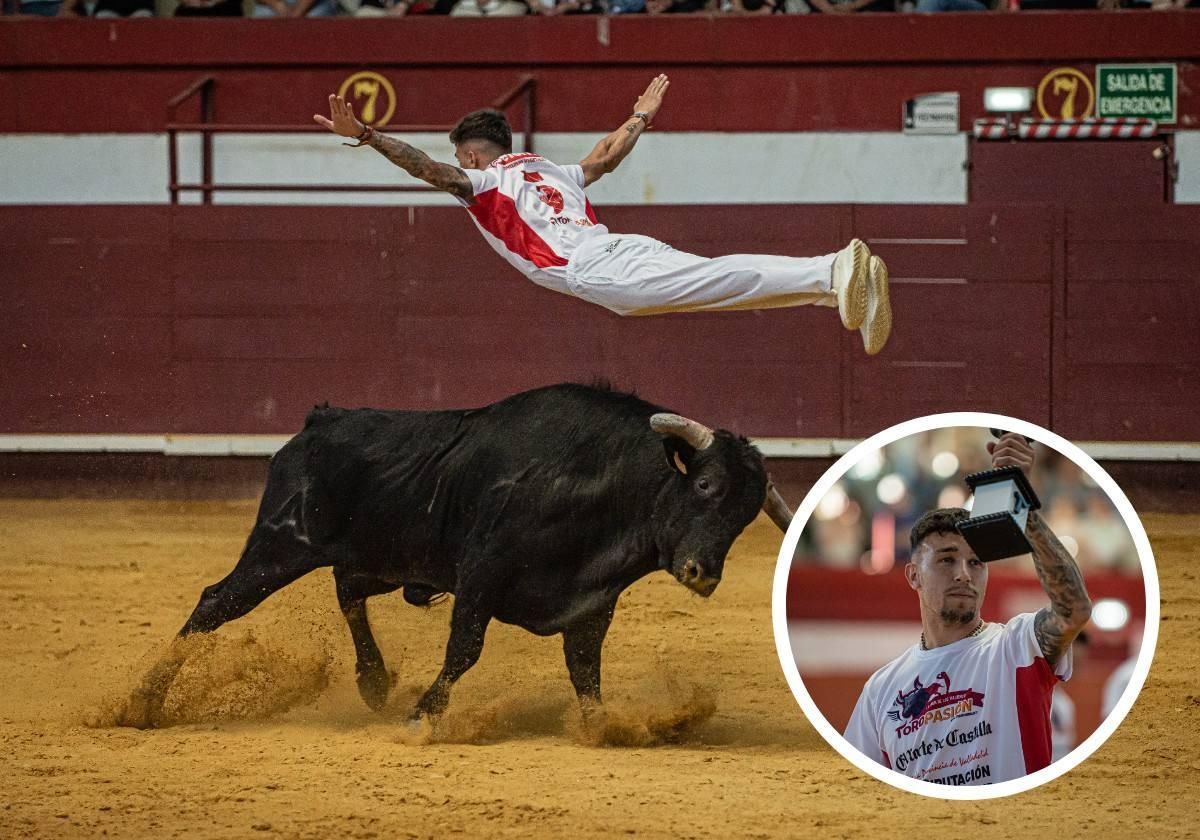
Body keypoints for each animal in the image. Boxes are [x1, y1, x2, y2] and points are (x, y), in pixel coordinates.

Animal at [166, 384, 796, 720]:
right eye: (705, 485)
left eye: (745, 517)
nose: (701, 573)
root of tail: (319, 421)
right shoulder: (479, 576)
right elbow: (464, 650)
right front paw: (422, 716)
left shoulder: (592, 602)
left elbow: (585, 671)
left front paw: (604, 727)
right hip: (282, 544)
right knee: (215, 603)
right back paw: (149, 699)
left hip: (387, 560)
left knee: (346, 587)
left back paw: (373, 681)